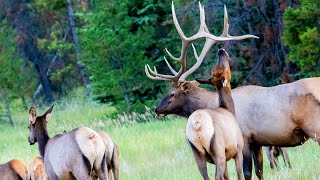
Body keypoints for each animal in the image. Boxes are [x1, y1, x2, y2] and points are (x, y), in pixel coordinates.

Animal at [186, 48, 244, 179]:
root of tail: (197, 123)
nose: (221, 50)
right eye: (224, 67)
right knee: (217, 177)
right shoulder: (238, 149)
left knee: (206, 176)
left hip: (196, 152)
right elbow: (240, 174)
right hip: (218, 149)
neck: (229, 109)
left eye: (215, 69)